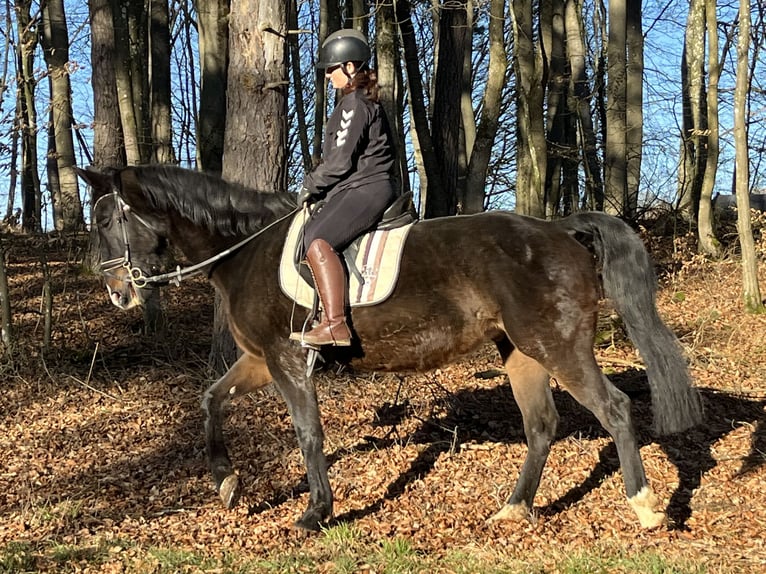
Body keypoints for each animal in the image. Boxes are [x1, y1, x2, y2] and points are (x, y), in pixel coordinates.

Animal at [76, 164, 703, 531]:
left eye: (107, 219)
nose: (116, 292)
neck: (243, 248)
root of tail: (560, 229)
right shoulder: (259, 359)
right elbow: (211, 400)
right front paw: (227, 482)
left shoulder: (285, 360)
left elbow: (307, 433)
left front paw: (315, 513)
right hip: (521, 351)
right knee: (542, 425)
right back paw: (515, 507)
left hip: (557, 346)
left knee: (615, 409)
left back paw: (646, 507)